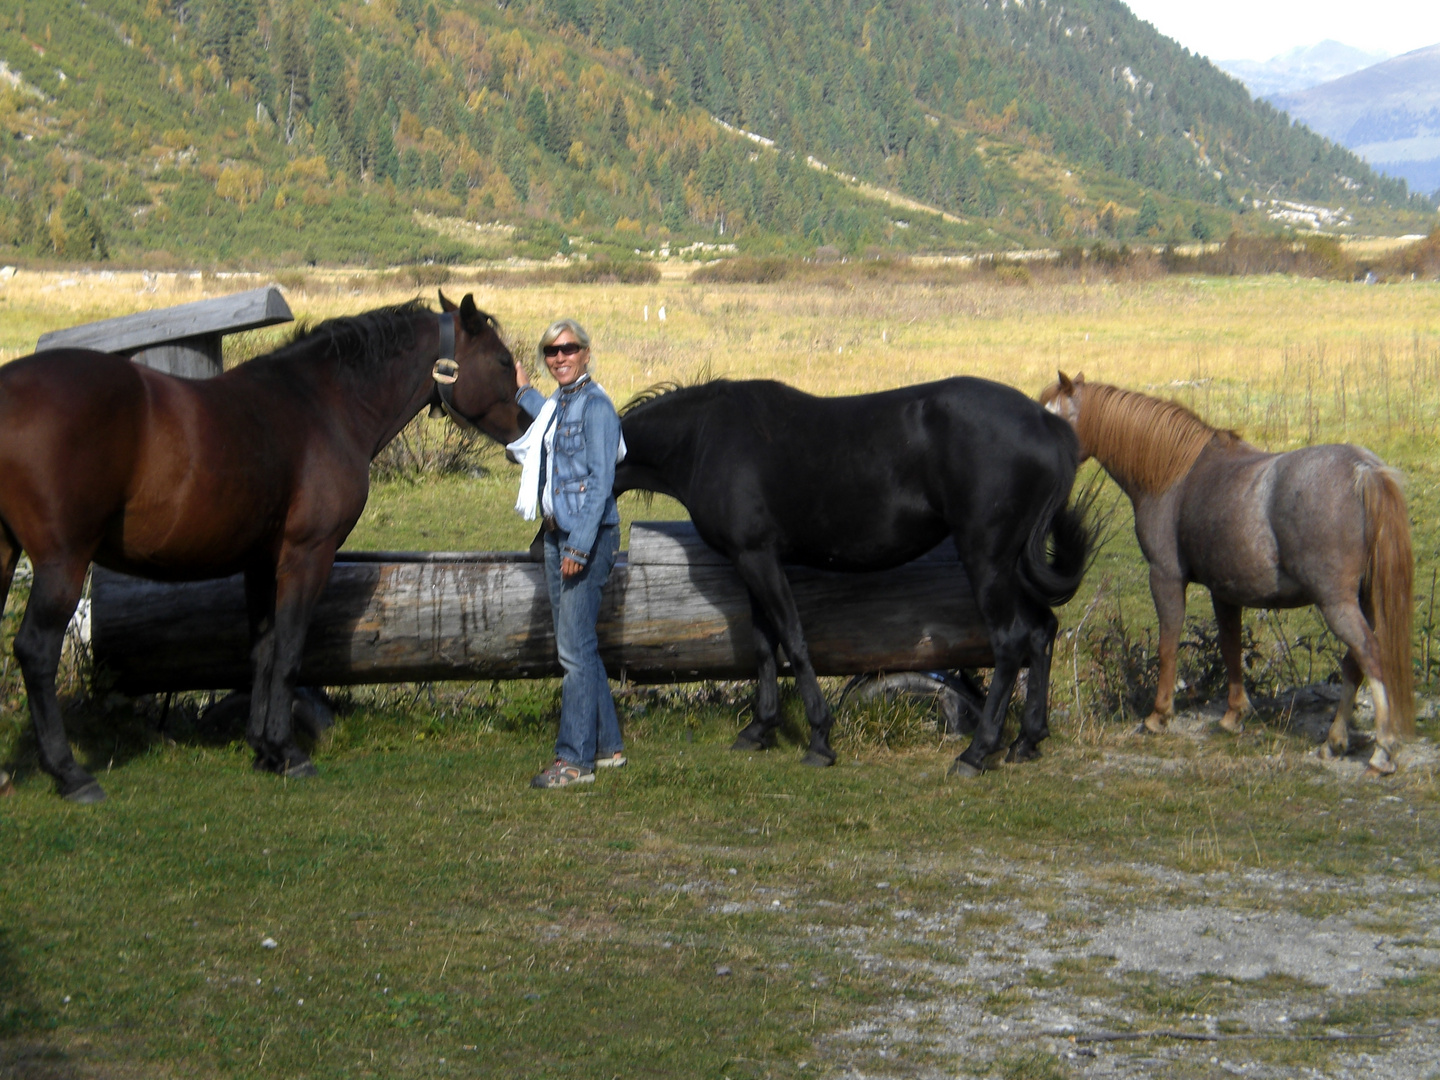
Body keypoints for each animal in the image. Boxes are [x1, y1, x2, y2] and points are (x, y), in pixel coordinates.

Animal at [1, 292, 524, 800]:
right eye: (502, 361)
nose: (524, 426)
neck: (323, 406)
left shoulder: (260, 563)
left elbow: (263, 651)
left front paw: (262, 748)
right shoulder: (307, 556)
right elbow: (290, 652)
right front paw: (287, 752)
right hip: (63, 563)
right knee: (36, 651)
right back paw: (70, 774)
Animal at [610, 380, 1088, 777]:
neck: (704, 437)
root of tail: (1047, 423)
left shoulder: (759, 558)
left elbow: (794, 641)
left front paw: (820, 739)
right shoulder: (748, 563)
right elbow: (764, 645)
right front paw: (759, 729)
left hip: (987, 560)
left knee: (1010, 642)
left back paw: (976, 752)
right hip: (1012, 565)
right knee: (1042, 631)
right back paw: (1027, 740)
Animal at [1042, 374, 1411, 777]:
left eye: (1054, 417)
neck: (1175, 475)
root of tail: (1365, 470)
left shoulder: (1165, 577)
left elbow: (1168, 644)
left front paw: (1159, 715)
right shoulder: (1225, 590)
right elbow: (1230, 645)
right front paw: (1234, 715)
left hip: (1336, 603)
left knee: (1370, 656)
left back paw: (1382, 750)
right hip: (1364, 601)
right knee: (1353, 664)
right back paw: (1334, 741)